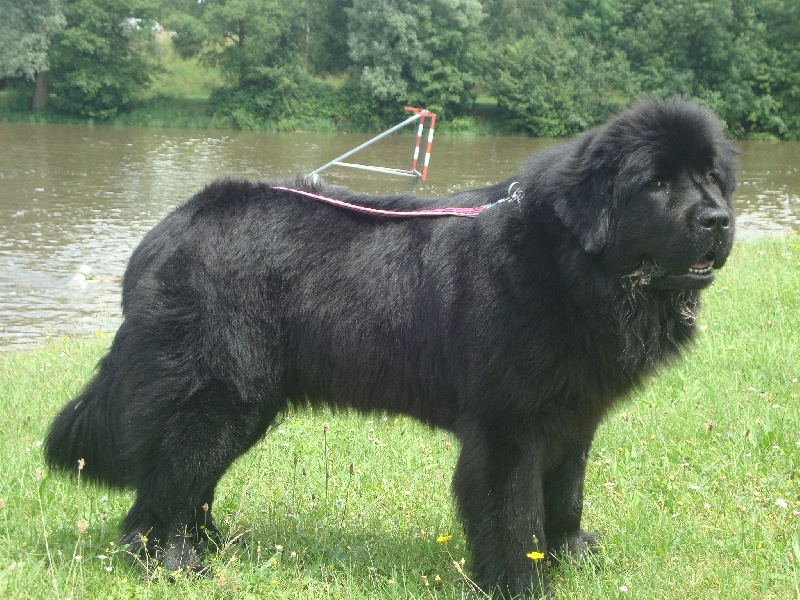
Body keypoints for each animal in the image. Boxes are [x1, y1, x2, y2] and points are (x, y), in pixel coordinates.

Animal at [45, 101, 736, 596]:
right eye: (656, 183)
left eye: (712, 178)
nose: (720, 220)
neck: (573, 267)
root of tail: (165, 231)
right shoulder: (508, 426)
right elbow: (514, 514)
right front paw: (521, 584)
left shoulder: (572, 416)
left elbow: (564, 495)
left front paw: (570, 557)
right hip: (219, 395)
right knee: (164, 489)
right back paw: (176, 565)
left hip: (240, 404)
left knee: (186, 482)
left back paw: (210, 547)